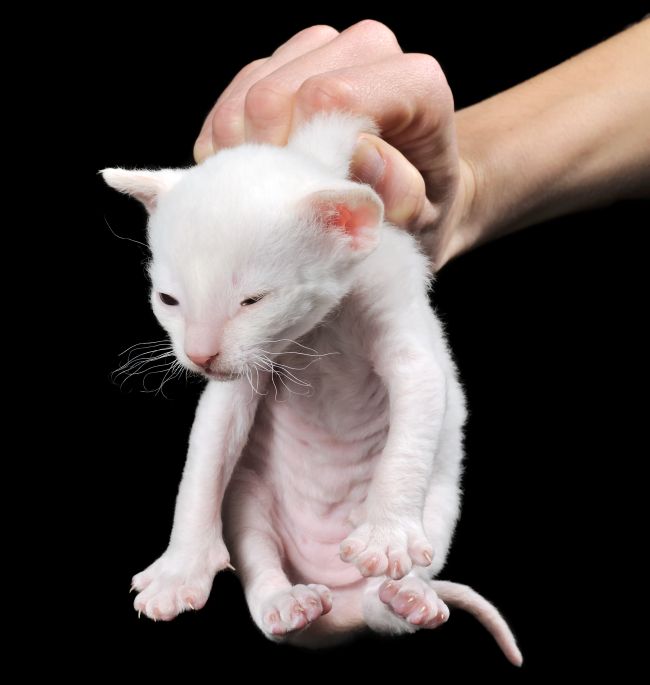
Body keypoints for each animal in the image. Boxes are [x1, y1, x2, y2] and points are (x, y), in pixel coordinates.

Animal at [104, 112, 524, 664]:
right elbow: (204, 460)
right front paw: (179, 571)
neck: (320, 329)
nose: (199, 355)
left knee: (383, 607)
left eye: (254, 300)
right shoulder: (240, 378)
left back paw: (407, 596)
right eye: (168, 300)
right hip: (251, 503)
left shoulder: (402, 325)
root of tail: (337, 613)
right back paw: (289, 604)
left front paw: (385, 536)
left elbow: (415, 411)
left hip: (438, 508)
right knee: (263, 580)